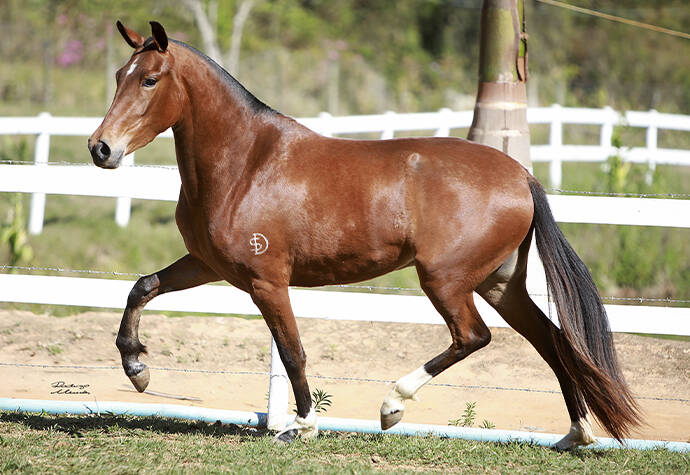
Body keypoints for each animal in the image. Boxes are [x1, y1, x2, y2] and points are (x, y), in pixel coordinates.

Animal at [87, 20, 640, 448]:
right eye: (117, 76)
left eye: (150, 80)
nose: (101, 148)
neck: (246, 164)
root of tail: (521, 175)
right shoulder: (208, 264)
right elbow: (141, 287)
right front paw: (137, 369)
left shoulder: (268, 282)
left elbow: (293, 351)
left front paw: (303, 427)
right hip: (499, 282)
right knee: (552, 340)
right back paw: (576, 434)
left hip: (445, 280)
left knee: (474, 336)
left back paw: (392, 405)